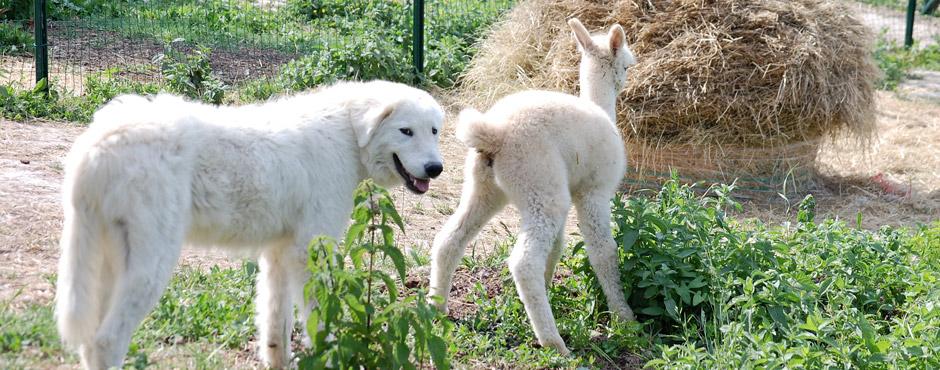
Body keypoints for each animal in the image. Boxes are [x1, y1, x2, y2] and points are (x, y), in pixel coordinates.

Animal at [55, 79, 444, 368]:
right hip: (151, 267)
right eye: (406, 131)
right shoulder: (309, 251)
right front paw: (332, 357)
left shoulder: (278, 254)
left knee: (90, 341)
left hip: (106, 265)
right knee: (106, 341)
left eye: (434, 131)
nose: (435, 168)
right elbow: (321, 323)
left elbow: (275, 325)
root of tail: (98, 143)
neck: (347, 134)